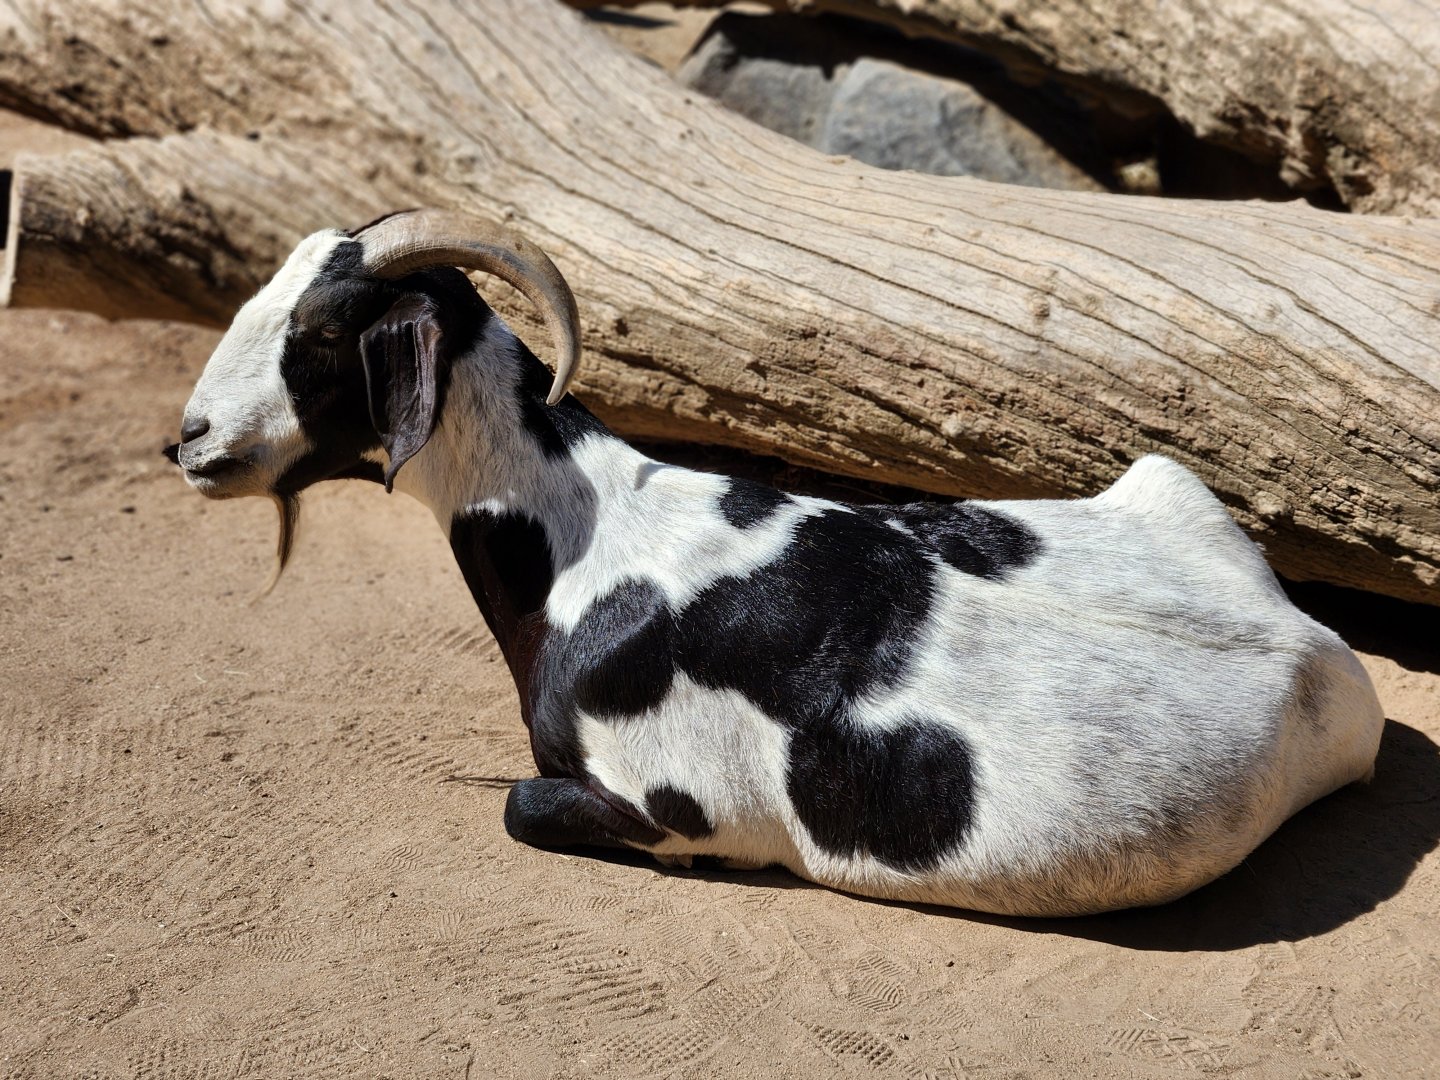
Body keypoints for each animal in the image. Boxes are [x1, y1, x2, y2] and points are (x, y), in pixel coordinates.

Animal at [169, 209, 1385, 917]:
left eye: (321, 338)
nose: (190, 441)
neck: (590, 545)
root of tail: (1321, 654)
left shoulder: (678, 811)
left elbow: (520, 804)